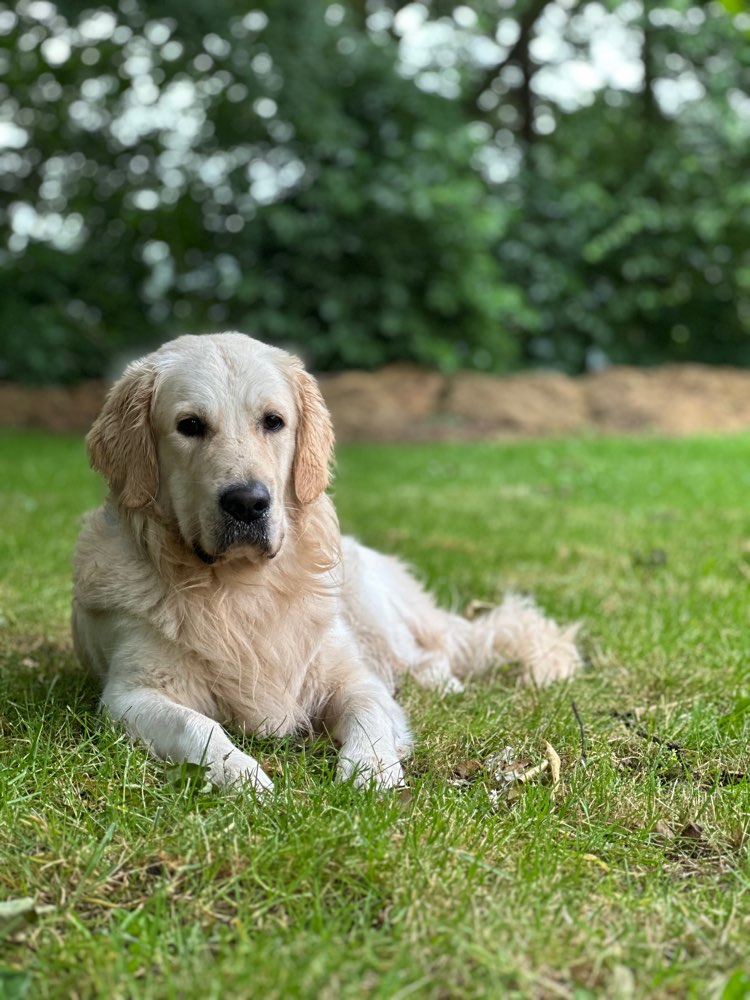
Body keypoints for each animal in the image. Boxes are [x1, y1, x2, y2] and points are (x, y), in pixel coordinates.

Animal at [73, 332, 580, 792]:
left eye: (273, 421)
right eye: (190, 425)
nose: (247, 503)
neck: (242, 589)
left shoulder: (351, 677)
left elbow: (371, 714)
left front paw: (372, 771)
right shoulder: (131, 694)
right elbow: (197, 726)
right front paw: (242, 775)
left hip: (374, 621)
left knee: (430, 655)